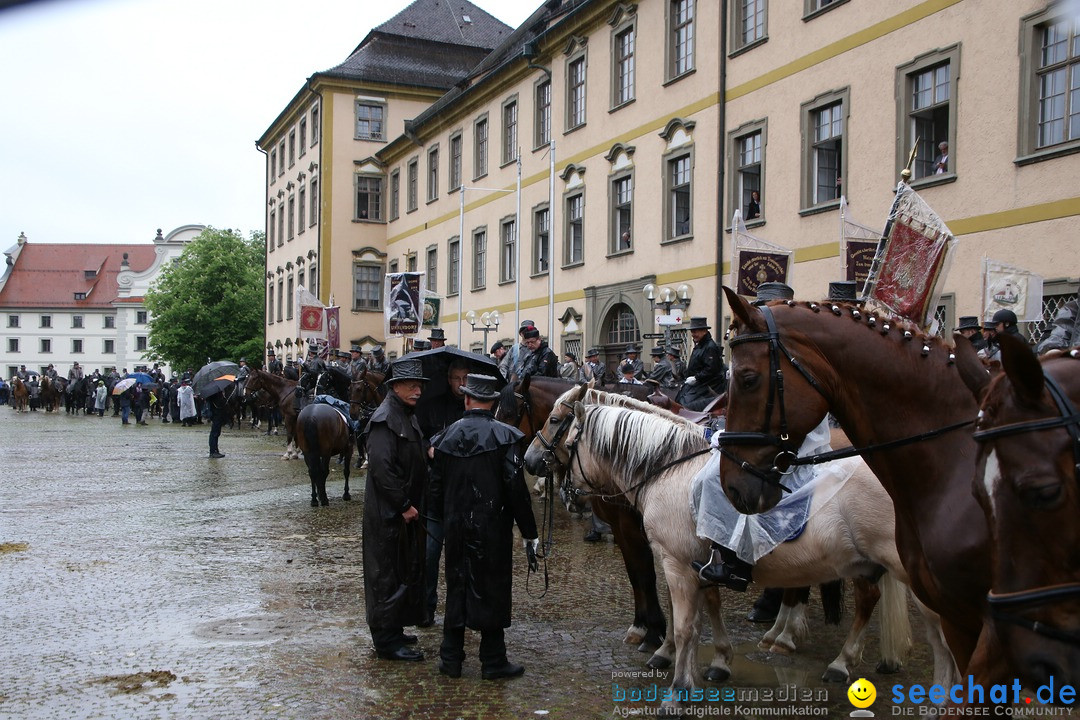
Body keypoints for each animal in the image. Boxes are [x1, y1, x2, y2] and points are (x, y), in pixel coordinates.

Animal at [522, 390, 954, 708]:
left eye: (556, 420)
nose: (528, 460)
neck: (670, 466)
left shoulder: (673, 561)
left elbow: (685, 621)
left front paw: (677, 686)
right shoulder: (699, 561)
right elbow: (706, 609)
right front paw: (717, 661)